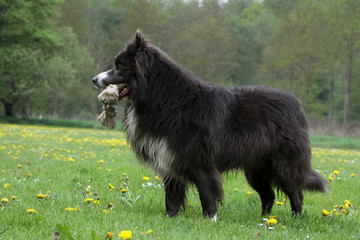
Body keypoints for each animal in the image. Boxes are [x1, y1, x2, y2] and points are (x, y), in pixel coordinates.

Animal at [91, 30, 328, 221]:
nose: (94, 79)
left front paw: (210, 219)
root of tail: (296, 104)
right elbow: (172, 194)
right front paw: (170, 217)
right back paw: (264, 219)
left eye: (118, 66)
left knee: (295, 191)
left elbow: (207, 191)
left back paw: (295, 218)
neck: (166, 99)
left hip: (283, 162)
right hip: (255, 167)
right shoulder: (170, 156)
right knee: (268, 194)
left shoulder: (199, 160)